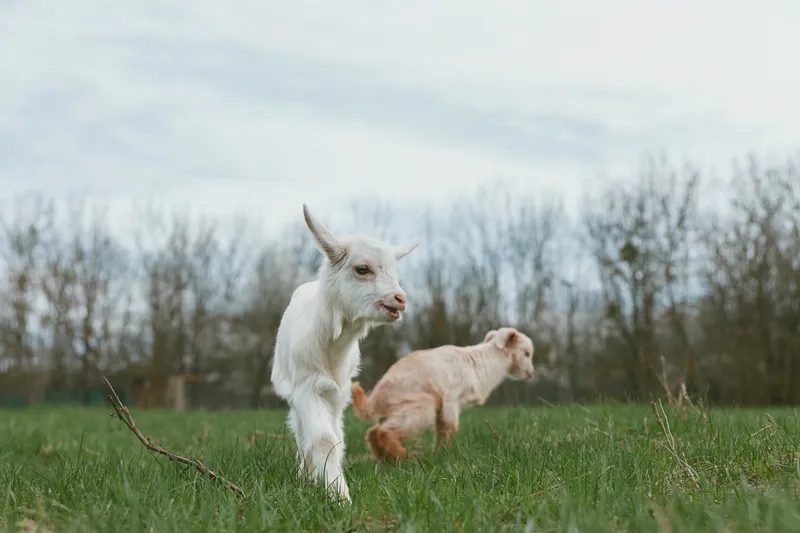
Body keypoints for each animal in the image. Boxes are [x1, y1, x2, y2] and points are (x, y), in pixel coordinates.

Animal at [270, 204, 418, 502]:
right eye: (362, 269)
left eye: (395, 271)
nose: (400, 299)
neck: (332, 346)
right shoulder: (306, 386)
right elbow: (322, 439)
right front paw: (339, 495)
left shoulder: (338, 390)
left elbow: (335, 439)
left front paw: (331, 485)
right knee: (301, 432)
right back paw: (305, 474)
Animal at [351, 327, 534, 462]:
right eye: (526, 353)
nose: (531, 373)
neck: (485, 361)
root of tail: (373, 403)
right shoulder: (451, 401)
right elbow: (449, 429)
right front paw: (443, 455)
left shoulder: (443, 407)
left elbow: (441, 430)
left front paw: (438, 455)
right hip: (421, 406)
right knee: (384, 432)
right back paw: (407, 458)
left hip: (399, 410)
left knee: (373, 432)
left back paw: (385, 459)